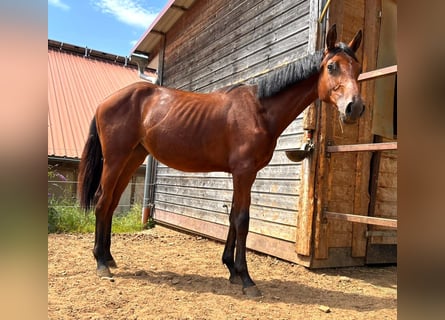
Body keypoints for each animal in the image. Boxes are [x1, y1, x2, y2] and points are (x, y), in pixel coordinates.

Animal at [78, 25, 362, 298]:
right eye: (332, 66)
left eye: (358, 68)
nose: (355, 108)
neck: (259, 110)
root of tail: (105, 102)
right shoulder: (244, 172)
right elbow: (242, 220)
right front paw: (246, 278)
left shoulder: (243, 174)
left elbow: (233, 216)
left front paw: (231, 269)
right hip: (115, 159)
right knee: (102, 201)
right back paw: (101, 263)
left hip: (132, 158)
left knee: (111, 203)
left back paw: (108, 257)